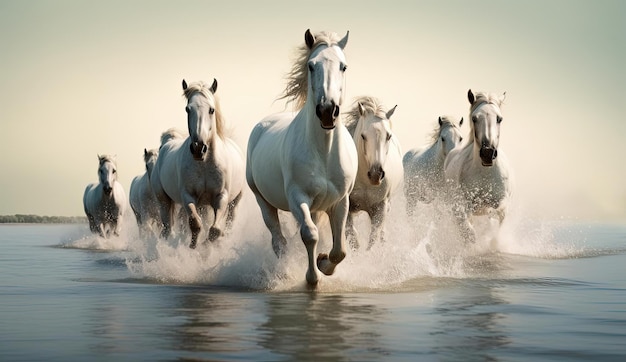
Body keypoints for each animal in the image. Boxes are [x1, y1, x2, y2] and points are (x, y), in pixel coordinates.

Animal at [150, 79, 245, 249]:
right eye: (188, 109)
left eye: (211, 110)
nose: (198, 148)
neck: (205, 164)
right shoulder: (188, 196)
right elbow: (195, 224)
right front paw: (194, 247)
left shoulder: (221, 197)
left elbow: (215, 230)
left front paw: (206, 247)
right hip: (164, 202)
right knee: (167, 230)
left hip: (234, 202)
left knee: (228, 223)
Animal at [246, 29, 358, 286]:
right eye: (311, 65)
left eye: (343, 67)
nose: (327, 111)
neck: (324, 152)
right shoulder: (298, 197)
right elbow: (310, 235)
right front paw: (312, 278)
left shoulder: (340, 201)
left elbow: (340, 249)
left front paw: (324, 263)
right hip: (263, 201)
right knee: (279, 241)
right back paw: (284, 271)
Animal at [344, 94, 402, 250]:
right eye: (363, 136)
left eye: (388, 136)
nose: (376, 174)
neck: (364, 181)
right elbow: (353, 237)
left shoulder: (380, 208)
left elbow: (372, 239)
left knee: (382, 233)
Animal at [442, 89, 510, 245]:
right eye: (474, 118)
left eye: (499, 119)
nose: (487, 153)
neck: (485, 173)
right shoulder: (461, 205)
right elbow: (468, 231)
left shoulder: (502, 201)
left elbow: (497, 215)